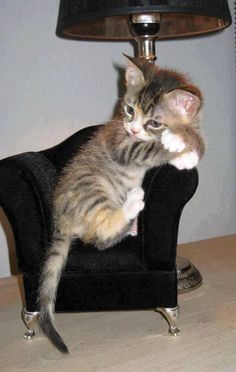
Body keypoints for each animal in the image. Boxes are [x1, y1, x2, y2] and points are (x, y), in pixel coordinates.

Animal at [37, 56, 205, 354]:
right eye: (129, 110)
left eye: (154, 122)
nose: (134, 128)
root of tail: (62, 223)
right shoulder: (122, 144)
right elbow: (150, 149)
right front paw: (179, 149)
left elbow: (194, 139)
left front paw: (188, 144)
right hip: (91, 185)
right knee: (100, 238)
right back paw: (133, 202)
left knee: (99, 238)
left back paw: (133, 224)